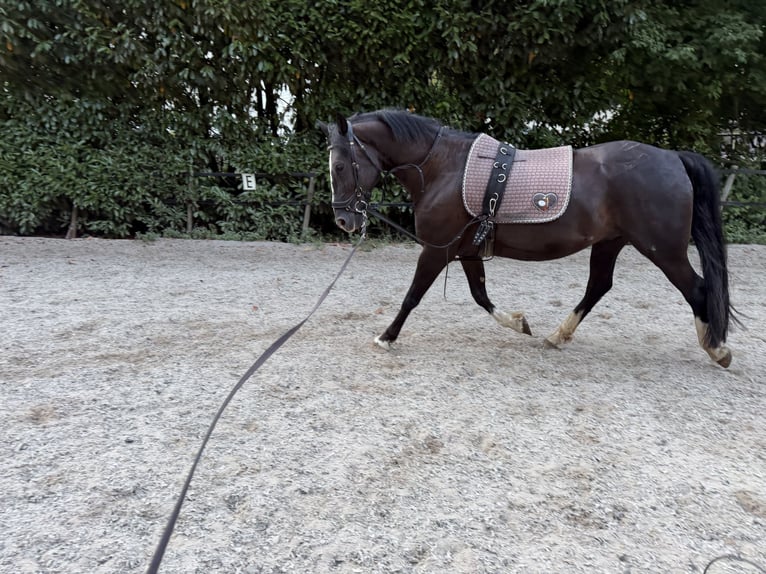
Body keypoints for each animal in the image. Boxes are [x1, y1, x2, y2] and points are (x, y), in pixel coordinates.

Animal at [318, 109, 736, 367]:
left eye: (339, 165)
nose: (344, 220)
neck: (443, 168)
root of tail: (673, 158)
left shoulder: (438, 251)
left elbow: (413, 296)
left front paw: (386, 337)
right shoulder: (468, 251)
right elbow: (481, 295)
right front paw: (520, 323)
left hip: (662, 249)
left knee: (697, 289)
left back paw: (717, 349)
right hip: (611, 242)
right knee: (598, 286)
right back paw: (556, 336)